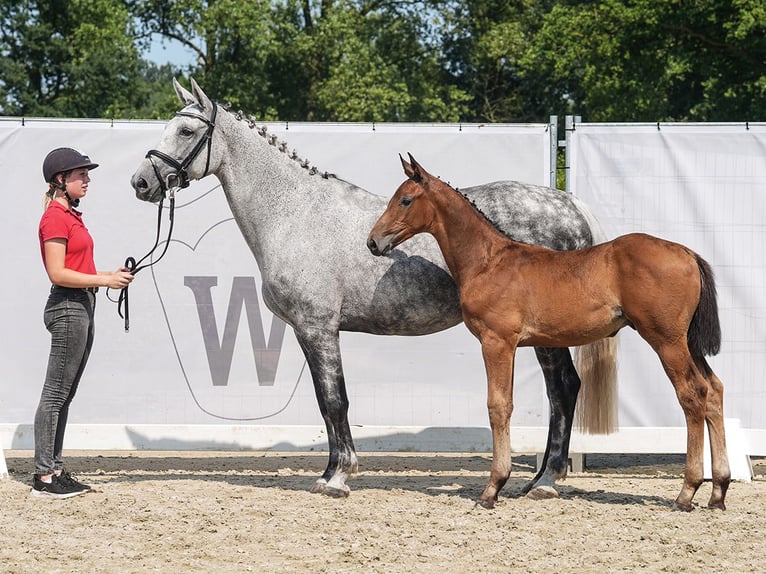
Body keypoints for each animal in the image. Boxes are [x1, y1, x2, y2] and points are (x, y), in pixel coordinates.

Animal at [127, 79, 616, 502]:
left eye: (186, 130)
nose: (141, 183)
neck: (294, 212)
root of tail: (569, 203)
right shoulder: (308, 331)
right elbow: (326, 402)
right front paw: (330, 472)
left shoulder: (318, 328)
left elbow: (334, 401)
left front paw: (338, 477)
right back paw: (538, 478)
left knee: (563, 389)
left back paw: (547, 481)